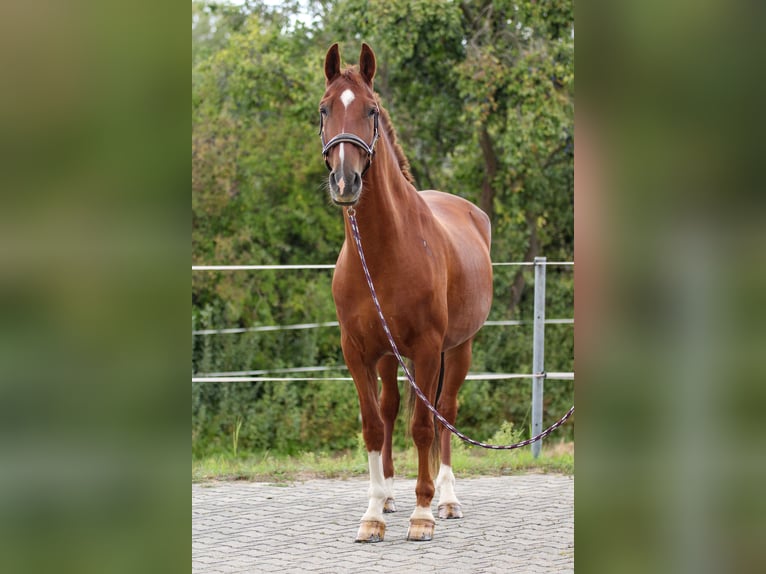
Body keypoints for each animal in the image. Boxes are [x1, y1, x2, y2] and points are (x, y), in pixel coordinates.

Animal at [319, 43, 493, 542]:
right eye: (324, 109)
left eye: (371, 110)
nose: (345, 182)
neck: (385, 253)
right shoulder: (358, 352)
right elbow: (374, 425)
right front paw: (374, 513)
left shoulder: (429, 347)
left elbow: (422, 427)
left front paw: (423, 513)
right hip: (390, 357)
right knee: (392, 410)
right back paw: (392, 495)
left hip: (457, 349)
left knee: (444, 413)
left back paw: (446, 498)